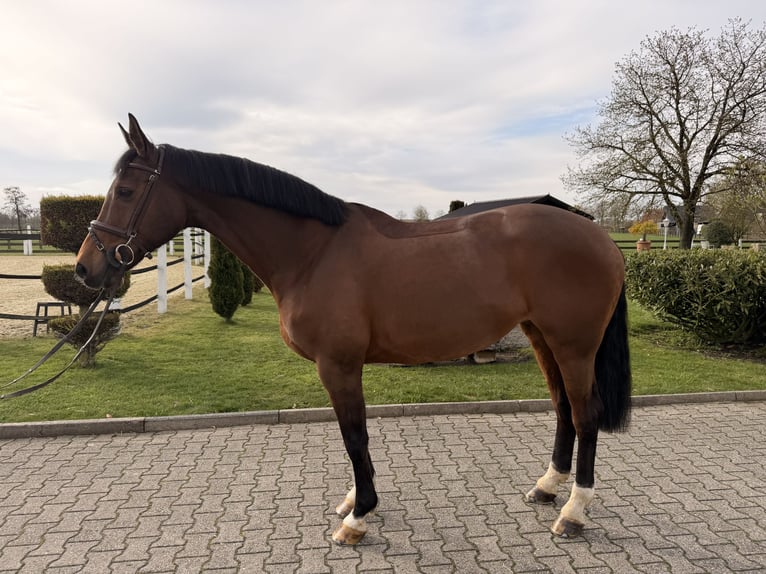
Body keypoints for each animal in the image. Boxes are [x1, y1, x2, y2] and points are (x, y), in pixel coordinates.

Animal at [76, 114, 631, 545]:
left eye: (125, 190)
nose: (85, 270)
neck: (314, 252)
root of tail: (599, 235)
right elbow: (354, 436)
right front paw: (354, 502)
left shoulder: (338, 365)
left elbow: (354, 435)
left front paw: (359, 516)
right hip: (541, 337)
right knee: (562, 409)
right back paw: (547, 487)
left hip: (574, 345)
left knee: (585, 414)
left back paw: (574, 512)